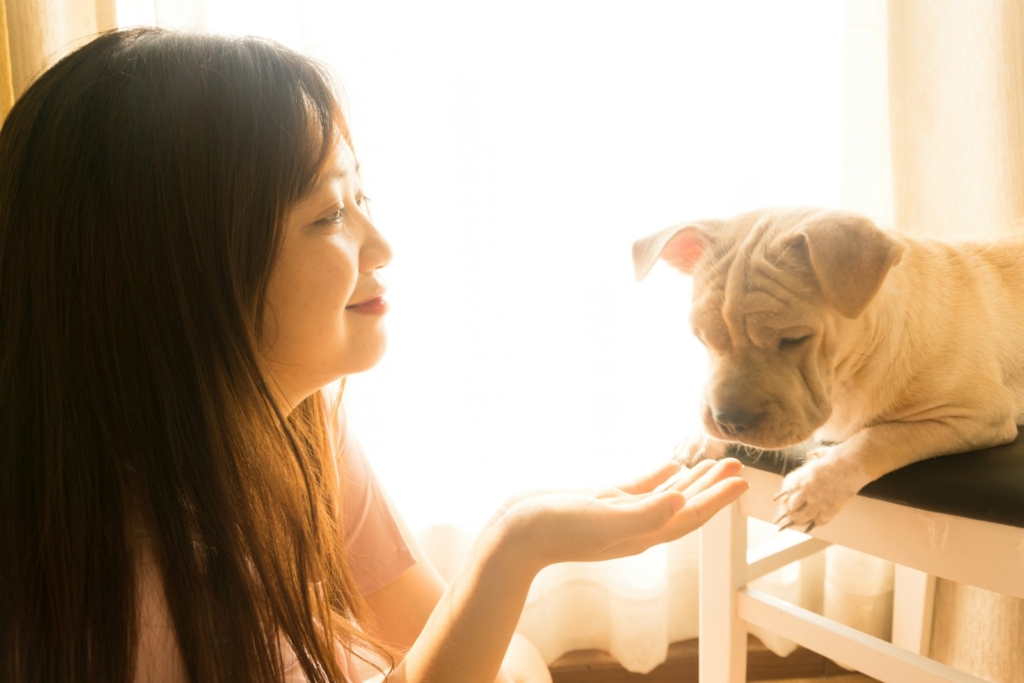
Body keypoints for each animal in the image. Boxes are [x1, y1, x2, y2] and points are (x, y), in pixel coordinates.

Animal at [630, 206, 1024, 528]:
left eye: (794, 339)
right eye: (701, 337)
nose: (729, 422)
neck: (850, 372)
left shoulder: (976, 417)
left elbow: (881, 438)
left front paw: (817, 485)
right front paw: (700, 436)